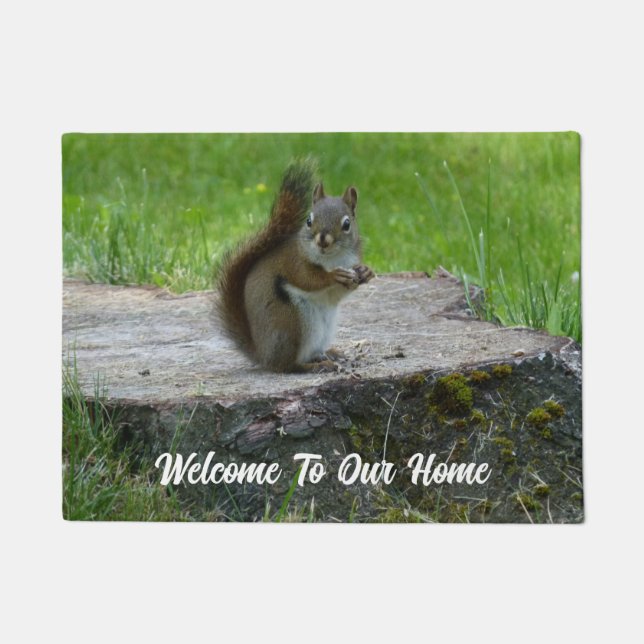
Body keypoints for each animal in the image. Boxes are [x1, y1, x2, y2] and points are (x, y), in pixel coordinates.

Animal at [216, 159, 375, 373]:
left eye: (347, 224)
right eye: (309, 220)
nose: (323, 240)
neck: (332, 259)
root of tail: (263, 355)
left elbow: (338, 293)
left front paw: (364, 271)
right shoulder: (295, 262)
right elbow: (308, 279)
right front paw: (332, 276)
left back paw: (330, 354)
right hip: (293, 323)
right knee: (288, 366)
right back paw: (316, 365)